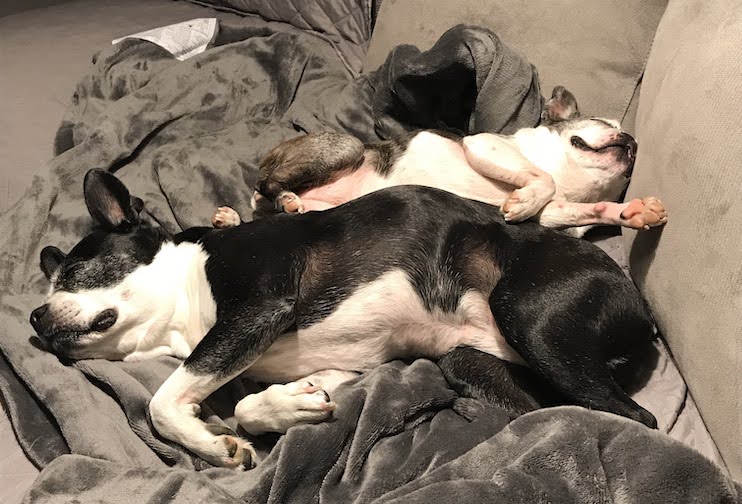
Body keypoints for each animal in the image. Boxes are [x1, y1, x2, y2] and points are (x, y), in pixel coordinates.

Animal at [29, 169, 660, 468]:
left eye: (77, 271)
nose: (34, 317)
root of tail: (641, 310)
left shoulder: (259, 307)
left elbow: (162, 404)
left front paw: (212, 447)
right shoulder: (341, 363)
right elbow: (250, 404)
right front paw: (287, 408)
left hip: (532, 316)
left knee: (637, 419)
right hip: (470, 362)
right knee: (557, 407)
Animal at [214, 86, 668, 236]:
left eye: (634, 155)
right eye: (603, 123)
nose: (632, 142)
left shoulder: (558, 213)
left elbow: (590, 208)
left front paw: (634, 212)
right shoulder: (486, 146)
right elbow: (541, 179)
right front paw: (522, 200)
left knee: (269, 209)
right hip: (345, 147)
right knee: (264, 189)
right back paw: (273, 200)